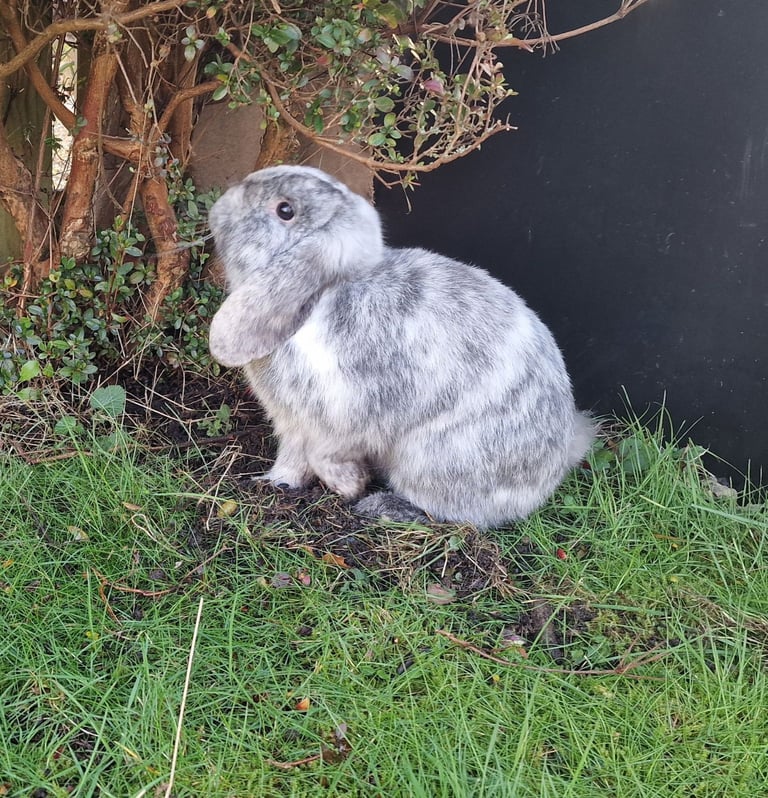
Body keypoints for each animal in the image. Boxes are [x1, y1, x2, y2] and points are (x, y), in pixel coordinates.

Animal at [208, 165, 594, 528]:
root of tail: (553, 469)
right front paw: (275, 483)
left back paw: (380, 506)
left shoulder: (347, 420)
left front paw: (350, 485)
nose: (218, 207)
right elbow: (292, 458)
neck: (323, 297)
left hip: (431, 461)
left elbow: (323, 454)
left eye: (284, 210)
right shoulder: (291, 422)